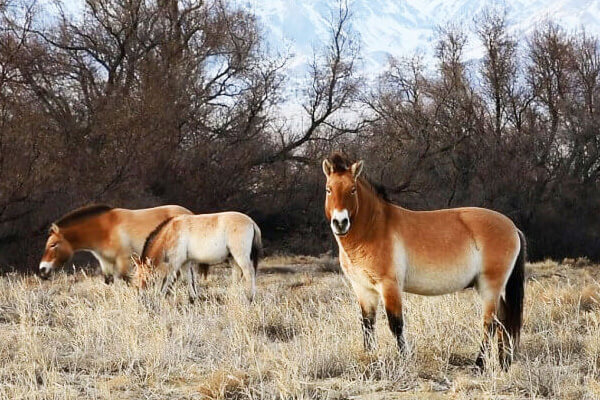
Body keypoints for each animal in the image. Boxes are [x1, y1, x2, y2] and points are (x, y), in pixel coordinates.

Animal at [38, 205, 192, 282]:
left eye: (53, 244)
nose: (42, 269)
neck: (105, 230)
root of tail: (190, 213)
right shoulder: (106, 262)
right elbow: (108, 280)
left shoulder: (124, 260)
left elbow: (126, 280)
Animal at [324, 152, 524, 368]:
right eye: (328, 189)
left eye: (352, 190)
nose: (340, 223)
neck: (374, 227)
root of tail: (513, 227)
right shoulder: (363, 289)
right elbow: (367, 325)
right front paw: (371, 358)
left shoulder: (390, 286)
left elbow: (396, 324)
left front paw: (404, 359)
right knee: (503, 320)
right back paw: (504, 362)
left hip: (490, 287)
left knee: (490, 323)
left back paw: (479, 364)